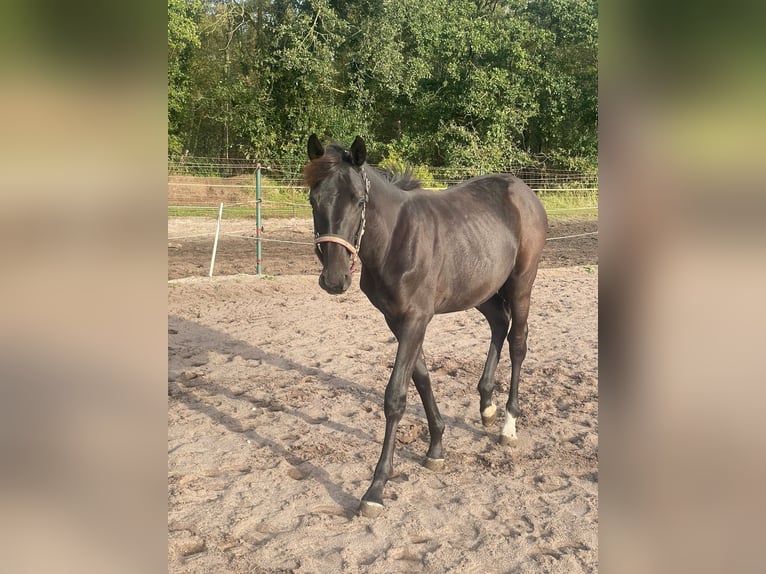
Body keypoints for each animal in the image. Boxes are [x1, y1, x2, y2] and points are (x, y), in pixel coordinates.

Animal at [304, 135, 548, 516]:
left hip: (522, 284)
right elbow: (420, 378)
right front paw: (436, 448)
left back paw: (508, 424)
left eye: (359, 200)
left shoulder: (416, 318)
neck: (394, 239)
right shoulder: (396, 319)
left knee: (519, 342)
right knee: (499, 325)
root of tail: (523, 190)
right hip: (481, 288)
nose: (334, 279)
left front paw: (376, 488)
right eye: (313, 198)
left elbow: (395, 396)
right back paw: (486, 406)